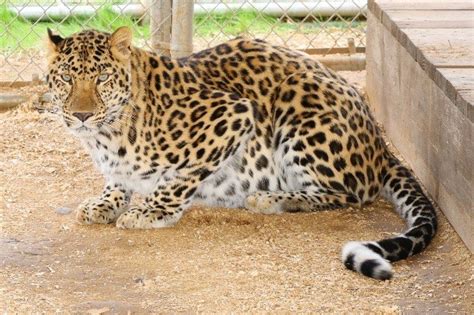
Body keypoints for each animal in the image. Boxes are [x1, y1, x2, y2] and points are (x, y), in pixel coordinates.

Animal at [45, 25, 436, 280]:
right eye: (65, 79)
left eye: (101, 79)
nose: (81, 115)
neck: (106, 135)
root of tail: (380, 145)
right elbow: (118, 180)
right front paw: (105, 202)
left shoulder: (233, 114)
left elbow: (180, 178)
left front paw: (151, 211)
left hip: (299, 104)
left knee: (351, 193)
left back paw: (270, 199)